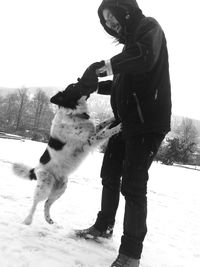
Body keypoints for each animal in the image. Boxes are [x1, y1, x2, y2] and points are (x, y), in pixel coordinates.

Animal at [12, 84, 122, 226]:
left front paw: (114, 117)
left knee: (47, 203)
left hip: (61, 187)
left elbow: (103, 123)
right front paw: (119, 126)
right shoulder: (89, 141)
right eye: (75, 86)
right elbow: (106, 132)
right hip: (45, 186)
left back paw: (48, 219)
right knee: (36, 202)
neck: (73, 113)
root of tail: (35, 169)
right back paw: (28, 220)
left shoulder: (93, 130)